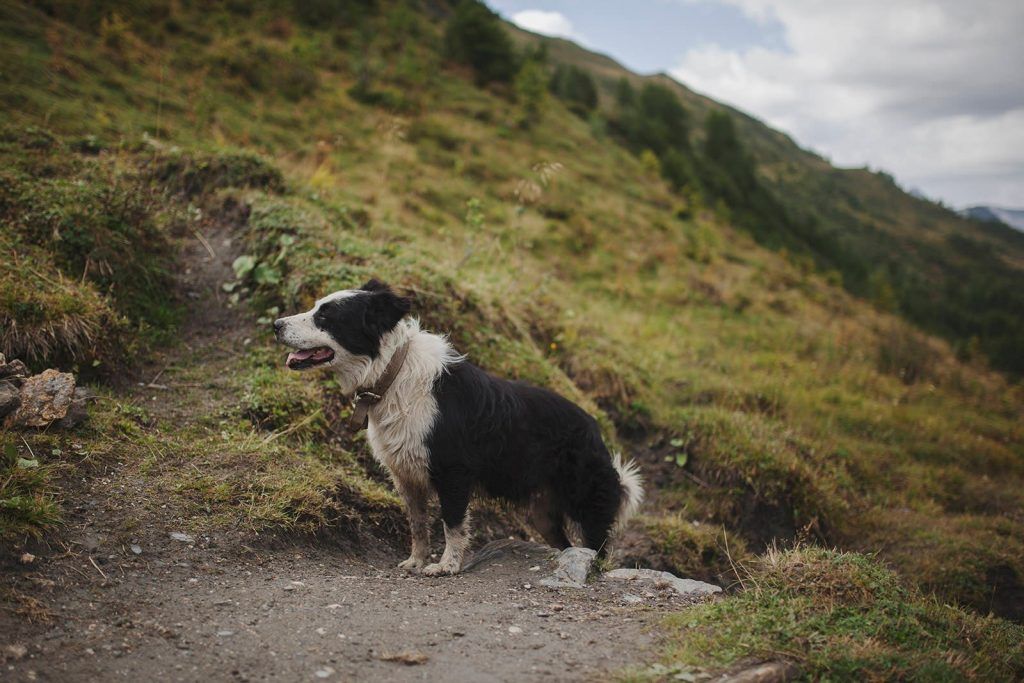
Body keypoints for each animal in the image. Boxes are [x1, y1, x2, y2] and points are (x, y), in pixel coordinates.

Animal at [272, 280, 638, 573]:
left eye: (325, 316)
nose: (275, 324)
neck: (393, 374)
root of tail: (595, 429)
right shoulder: (406, 475)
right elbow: (418, 524)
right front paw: (416, 562)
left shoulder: (453, 473)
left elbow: (452, 524)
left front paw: (446, 567)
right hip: (543, 513)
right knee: (566, 543)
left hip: (585, 500)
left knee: (597, 545)